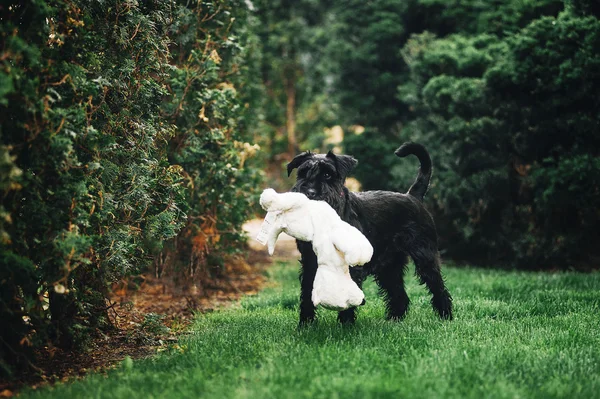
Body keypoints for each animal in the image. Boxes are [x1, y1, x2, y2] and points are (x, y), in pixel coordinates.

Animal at [288, 143, 452, 324]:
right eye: (303, 172)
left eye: (327, 174)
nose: (310, 192)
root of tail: (412, 196)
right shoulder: (309, 262)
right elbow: (306, 294)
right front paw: (305, 325)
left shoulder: (352, 265)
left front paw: (345, 325)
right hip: (389, 266)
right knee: (399, 294)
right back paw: (394, 320)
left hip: (425, 257)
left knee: (438, 287)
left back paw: (445, 317)